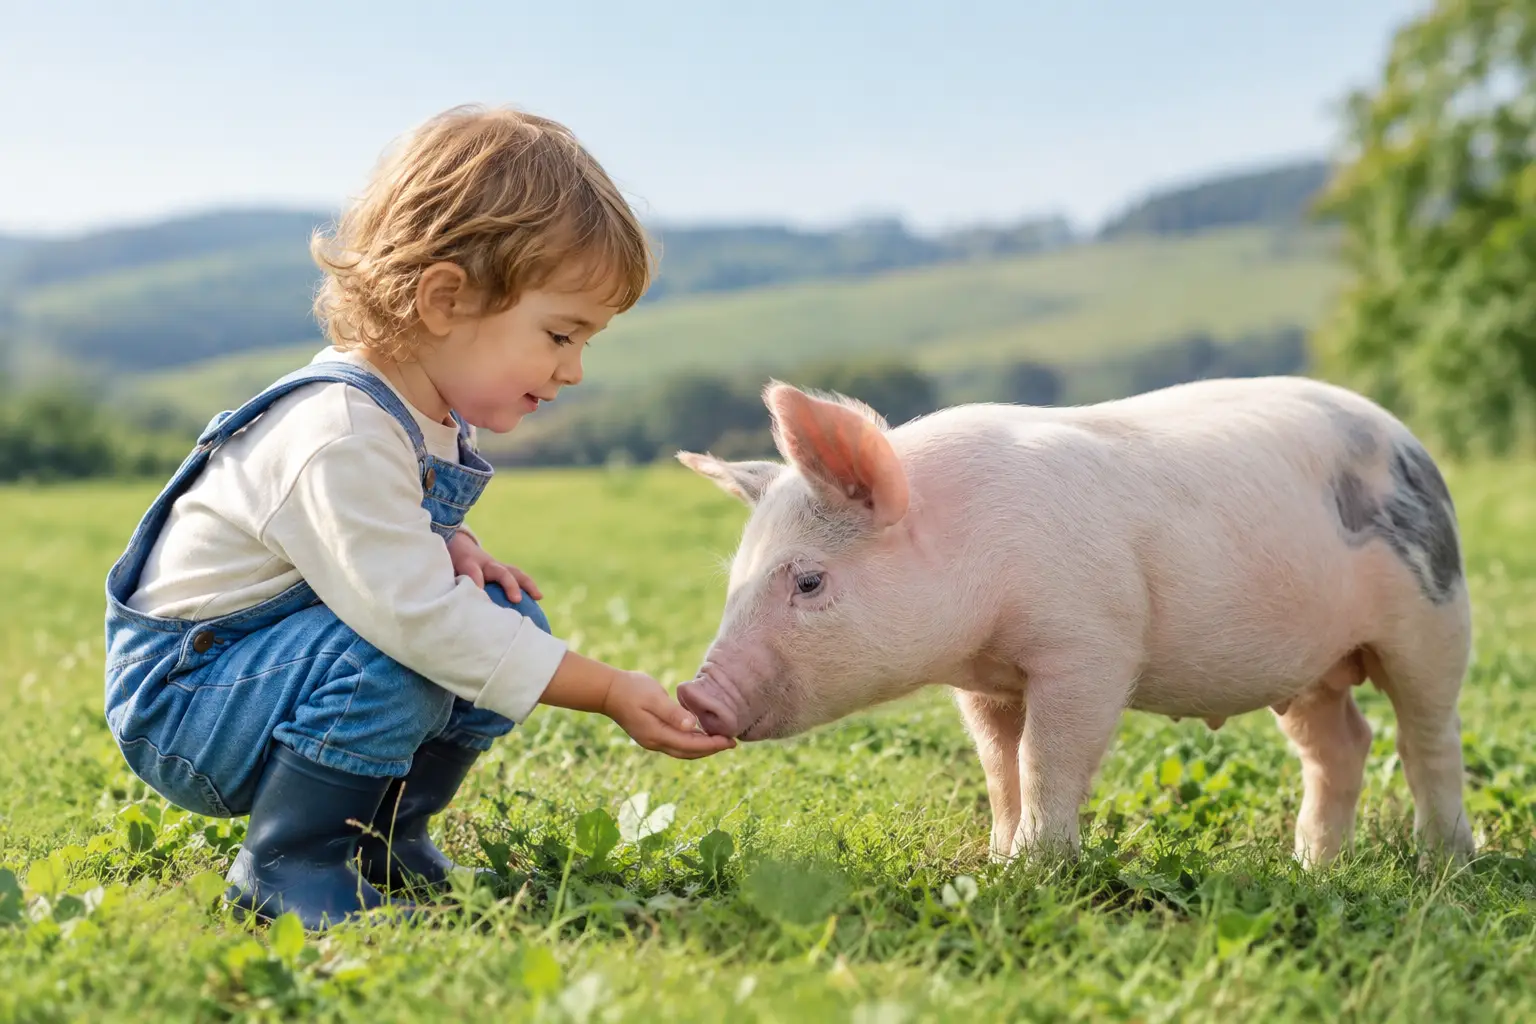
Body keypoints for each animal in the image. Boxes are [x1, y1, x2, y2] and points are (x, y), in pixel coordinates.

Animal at [675, 376, 1476, 869]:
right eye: (735, 579)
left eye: (809, 580)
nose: (695, 694)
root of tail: (1408, 441)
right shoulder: (984, 683)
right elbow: (999, 766)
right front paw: (997, 860)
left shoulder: (1091, 645)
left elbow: (1047, 757)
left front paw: (1033, 869)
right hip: (1312, 666)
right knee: (1342, 742)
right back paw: (1312, 865)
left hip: (1434, 614)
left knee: (1426, 738)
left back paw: (1442, 863)